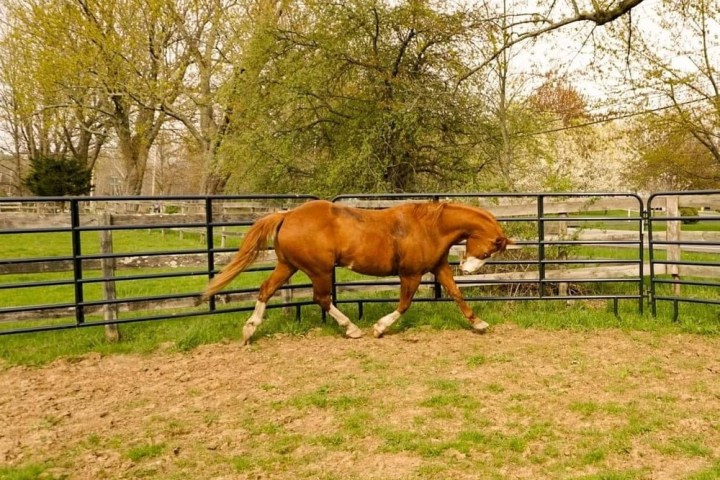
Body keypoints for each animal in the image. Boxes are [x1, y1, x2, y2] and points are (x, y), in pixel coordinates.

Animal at [202, 199, 511, 344]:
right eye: (490, 249)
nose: (466, 268)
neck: (430, 227)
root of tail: (287, 215)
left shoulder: (439, 267)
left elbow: (457, 294)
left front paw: (479, 324)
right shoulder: (410, 273)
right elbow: (404, 303)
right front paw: (379, 328)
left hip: (288, 265)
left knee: (266, 289)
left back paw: (249, 331)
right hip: (319, 270)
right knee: (322, 298)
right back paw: (351, 329)